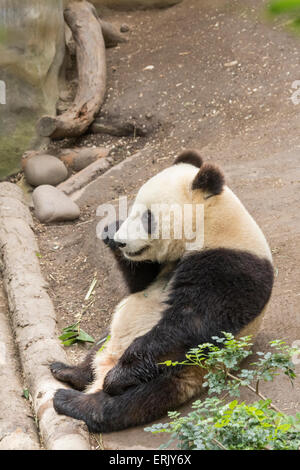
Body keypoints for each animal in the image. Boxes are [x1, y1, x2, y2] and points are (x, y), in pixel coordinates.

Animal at [50, 151, 274, 434]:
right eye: (132, 210)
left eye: (147, 217)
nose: (121, 241)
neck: (214, 224)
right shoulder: (157, 266)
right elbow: (138, 284)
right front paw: (110, 230)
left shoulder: (231, 268)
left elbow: (189, 324)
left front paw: (116, 379)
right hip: (112, 335)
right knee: (98, 347)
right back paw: (68, 371)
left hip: (183, 370)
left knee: (134, 398)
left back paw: (77, 400)